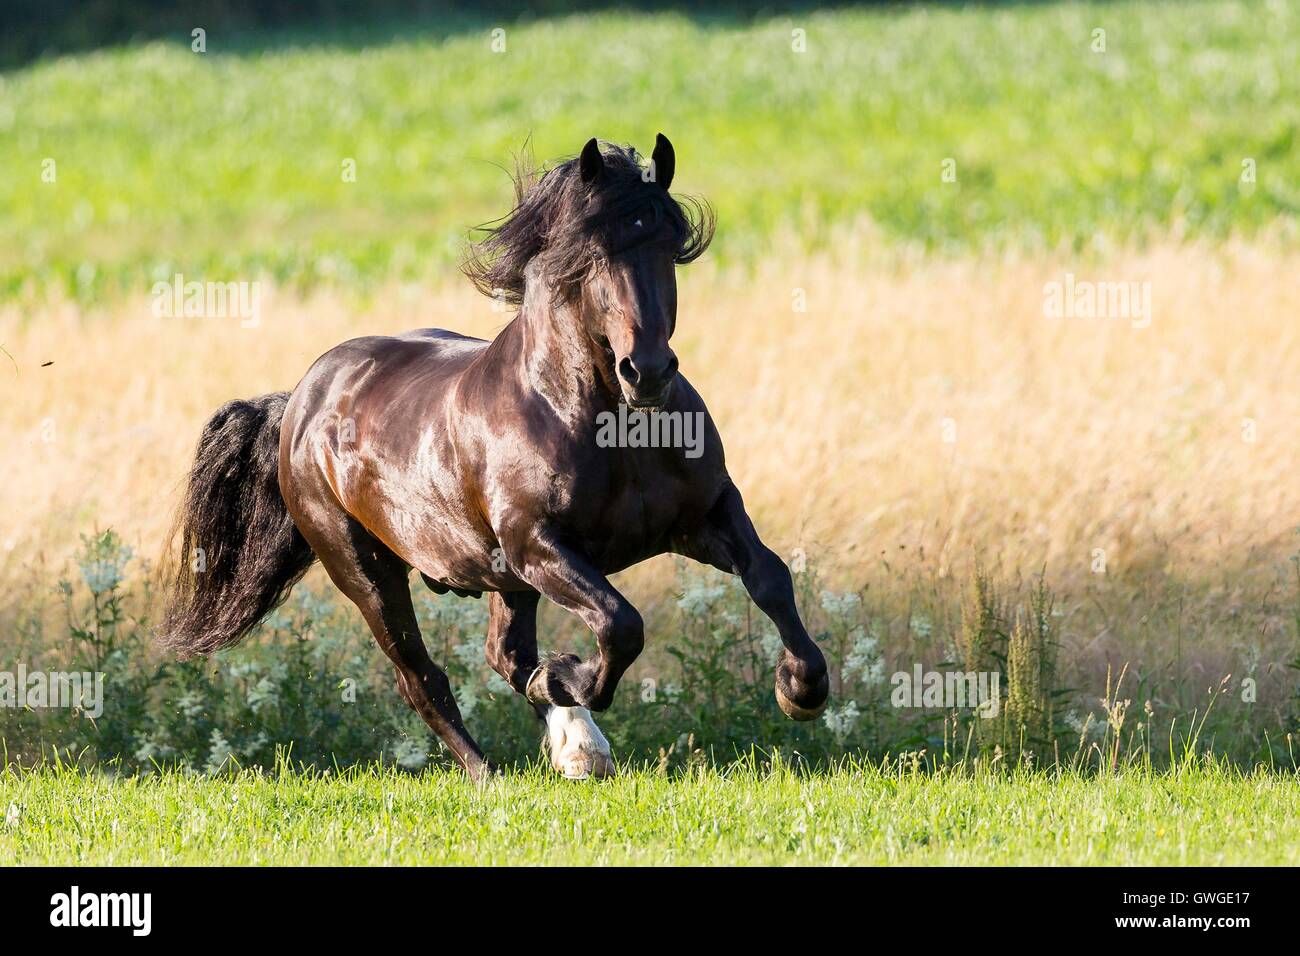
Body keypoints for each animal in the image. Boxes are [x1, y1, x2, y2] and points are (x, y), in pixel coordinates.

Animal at [160, 135, 830, 780]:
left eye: (667, 243)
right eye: (592, 253)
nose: (648, 372)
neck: (609, 428)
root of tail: (300, 401)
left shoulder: (703, 514)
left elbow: (769, 576)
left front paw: (802, 688)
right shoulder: (540, 545)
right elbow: (620, 624)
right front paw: (564, 675)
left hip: (504, 577)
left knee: (503, 654)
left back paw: (578, 749)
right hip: (366, 570)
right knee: (421, 677)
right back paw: (493, 773)